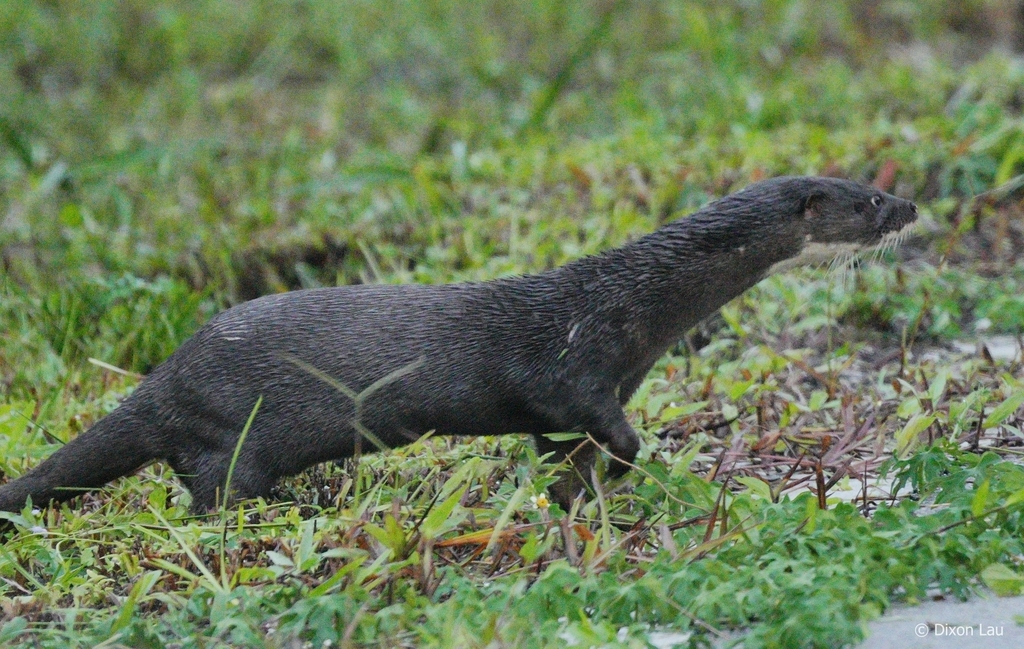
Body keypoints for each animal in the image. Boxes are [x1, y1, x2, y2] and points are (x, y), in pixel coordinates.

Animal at [0, 176, 917, 515]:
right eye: (867, 200)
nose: (910, 209)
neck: (636, 311)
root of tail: (165, 374)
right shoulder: (575, 363)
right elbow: (600, 422)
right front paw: (619, 469)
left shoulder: (589, 386)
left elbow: (563, 445)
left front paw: (577, 489)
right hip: (239, 429)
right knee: (212, 485)